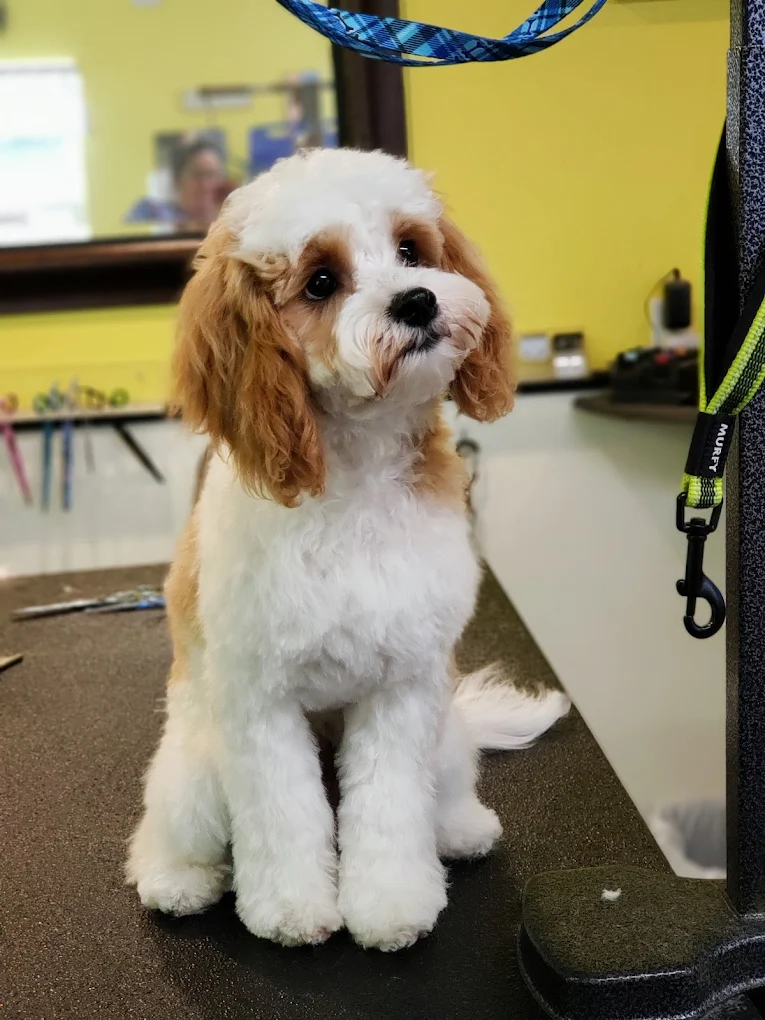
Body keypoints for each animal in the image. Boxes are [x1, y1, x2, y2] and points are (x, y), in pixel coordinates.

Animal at [126, 148, 568, 952]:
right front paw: (291, 911)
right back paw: (178, 879)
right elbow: (283, 817)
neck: (356, 479)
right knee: (168, 835)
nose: (417, 301)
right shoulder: (260, 703)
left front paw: (390, 907)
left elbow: (389, 809)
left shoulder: (402, 686)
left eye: (411, 250)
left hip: (444, 736)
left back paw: (459, 829)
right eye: (321, 281)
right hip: (196, 769)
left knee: (438, 795)